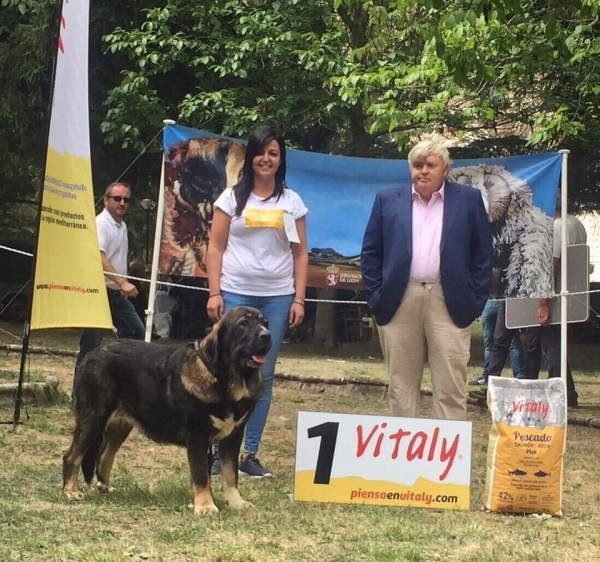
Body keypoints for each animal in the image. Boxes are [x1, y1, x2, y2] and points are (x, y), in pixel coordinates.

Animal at [62, 306, 272, 512]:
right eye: (243, 323)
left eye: (265, 323)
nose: (267, 335)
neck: (226, 381)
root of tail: (92, 354)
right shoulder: (197, 436)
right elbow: (201, 475)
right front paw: (205, 506)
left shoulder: (233, 436)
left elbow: (230, 474)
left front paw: (236, 503)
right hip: (93, 418)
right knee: (72, 456)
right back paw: (71, 491)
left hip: (119, 425)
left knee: (105, 456)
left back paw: (106, 488)